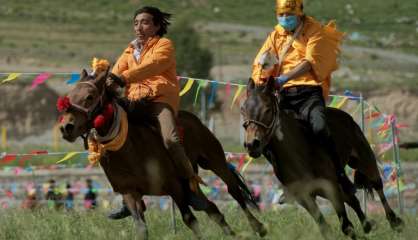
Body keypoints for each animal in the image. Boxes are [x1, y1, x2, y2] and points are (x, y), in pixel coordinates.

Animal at [58, 69, 266, 238]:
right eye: (70, 95)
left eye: (90, 96)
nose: (66, 127)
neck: (128, 149)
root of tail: (195, 119)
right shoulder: (129, 193)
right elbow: (141, 228)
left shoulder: (174, 187)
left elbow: (190, 220)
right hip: (192, 183)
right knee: (213, 209)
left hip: (214, 162)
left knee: (234, 192)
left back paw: (258, 227)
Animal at [242, 78, 404, 238]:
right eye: (243, 109)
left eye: (268, 109)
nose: (252, 144)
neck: (297, 154)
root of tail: (348, 118)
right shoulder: (305, 197)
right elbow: (324, 226)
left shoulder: (331, 188)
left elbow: (346, 226)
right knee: (353, 200)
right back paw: (367, 226)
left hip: (364, 161)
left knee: (377, 186)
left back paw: (395, 222)